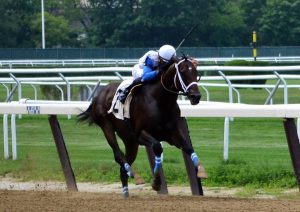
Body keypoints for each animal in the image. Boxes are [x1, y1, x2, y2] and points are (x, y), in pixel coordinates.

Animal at [78, 55, 206, 197]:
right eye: (183, 72)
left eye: (196, 72)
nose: (196, 96)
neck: (160, 100)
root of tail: (98, 95)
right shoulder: (140, 134)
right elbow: (157, 147)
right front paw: (156, 182)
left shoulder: (171, 134)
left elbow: (188, 147)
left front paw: (201, 170)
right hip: (107, 127)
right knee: (118, 155)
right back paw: (135, 175)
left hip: (130, 142)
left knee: (123, 168)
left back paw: (126, 193)